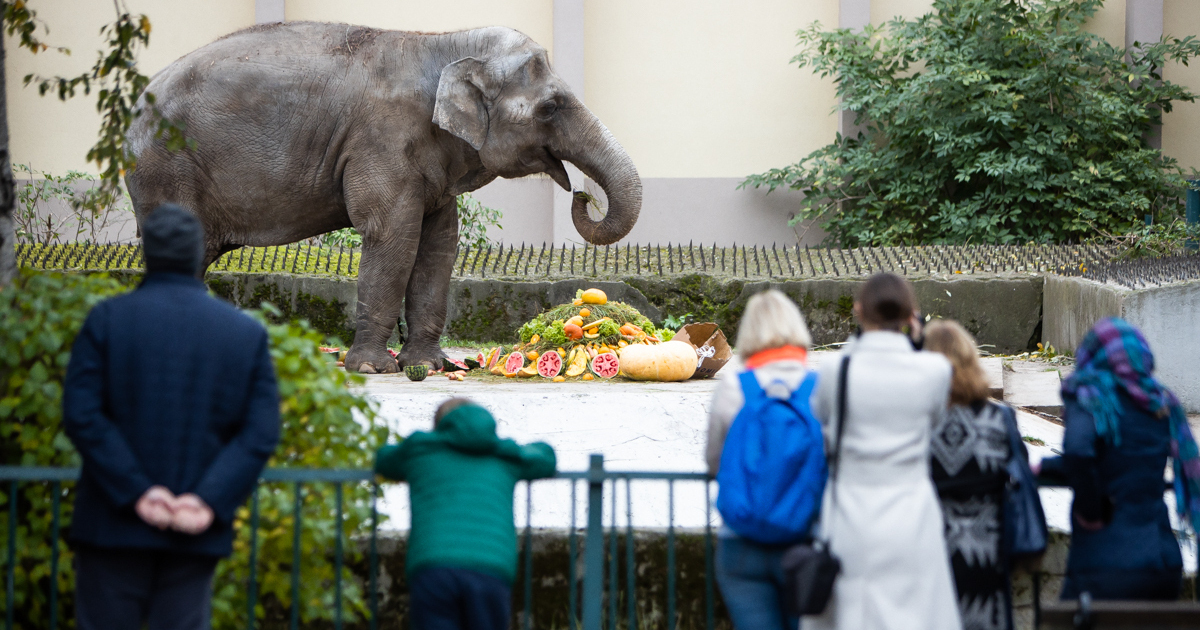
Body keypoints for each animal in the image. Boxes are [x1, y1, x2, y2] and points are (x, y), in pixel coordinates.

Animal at [126, 22, 643, 372]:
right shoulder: (382, 140)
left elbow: (439, 244)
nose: (583, 194)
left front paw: (430, 366)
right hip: (164, 168)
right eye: (550, 107)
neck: (443, 44)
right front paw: (375, 368)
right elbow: (392, 234)